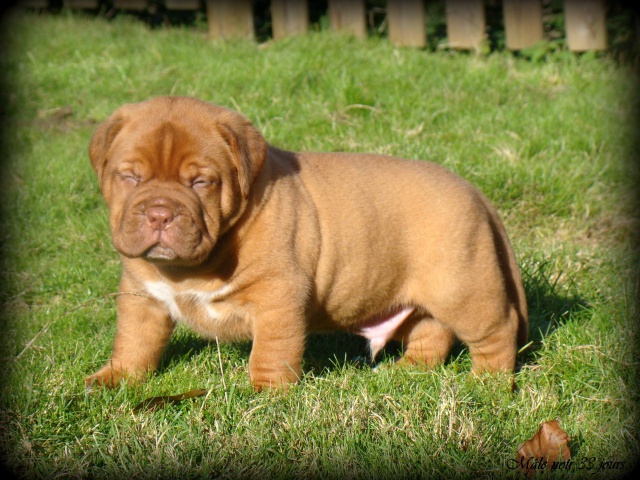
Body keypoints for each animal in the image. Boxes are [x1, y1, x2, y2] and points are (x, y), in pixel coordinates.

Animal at [85, 94, 528, 390]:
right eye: (130, 177)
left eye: (201, 182)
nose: (160, 214)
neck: (188, 267)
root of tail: (475, 193)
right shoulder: (142, 298)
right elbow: (134, 342)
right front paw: (113, 379)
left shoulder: (278, 297)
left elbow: (271, 350)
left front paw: (265, 394)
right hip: (416, 297)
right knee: (431, 332)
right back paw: (409, 371)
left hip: (462, 288)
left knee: (497, 329)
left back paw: (487, 383)